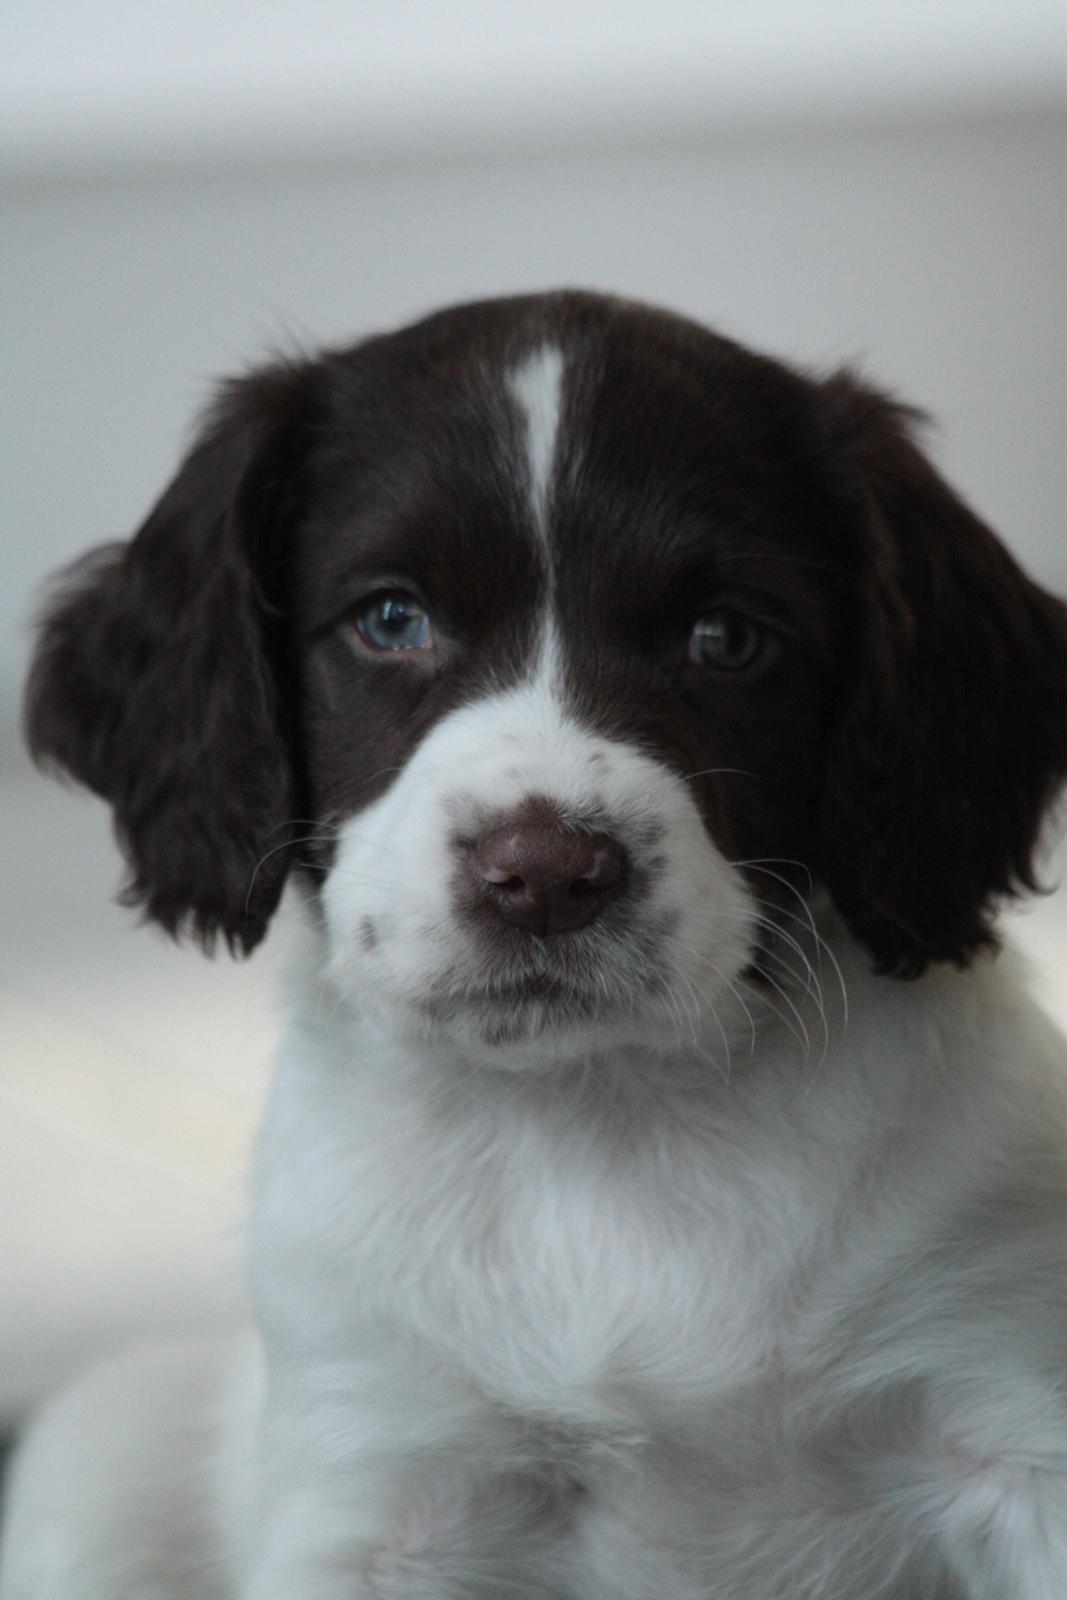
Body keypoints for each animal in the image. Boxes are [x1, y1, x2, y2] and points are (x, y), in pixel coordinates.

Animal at [2, 288, 1067, 1600]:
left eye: (725, 638)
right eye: (391, 618)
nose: (547, 876)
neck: (598, 1125)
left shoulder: (1011, 1408)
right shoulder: (379, 1478)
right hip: (95, 1453)